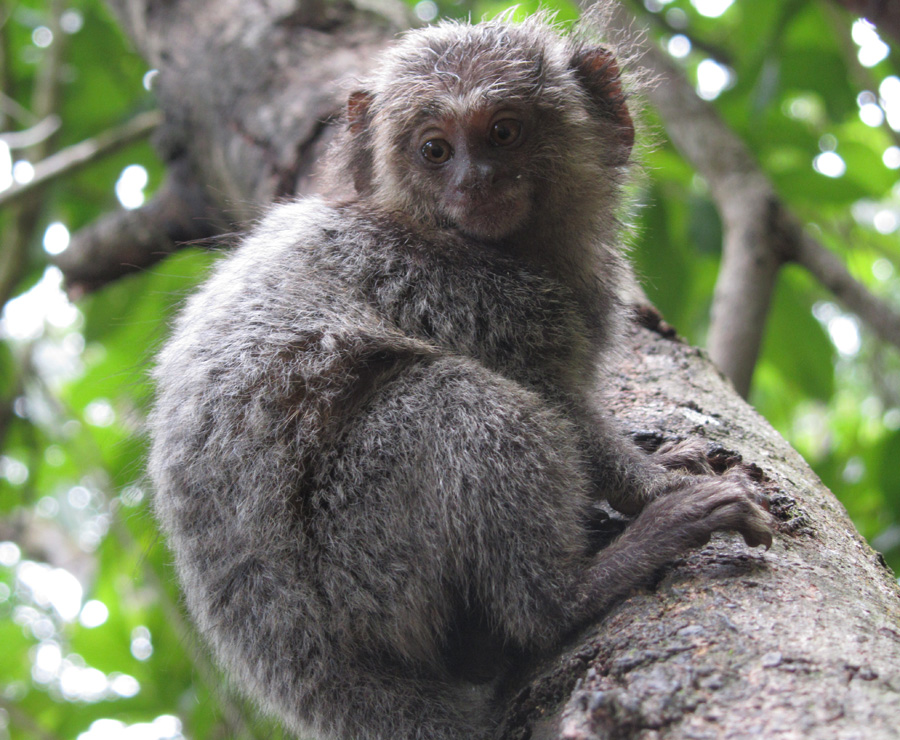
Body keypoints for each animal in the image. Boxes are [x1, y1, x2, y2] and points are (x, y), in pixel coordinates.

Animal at [148, 14, 773, 740]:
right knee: (454, 400)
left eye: (503, 132)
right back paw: (579, 590)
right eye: (434, 151)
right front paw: (657, 485)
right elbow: (562, 412)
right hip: (360, 563)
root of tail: (302, 666)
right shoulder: (447, 289)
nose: (474, 183)